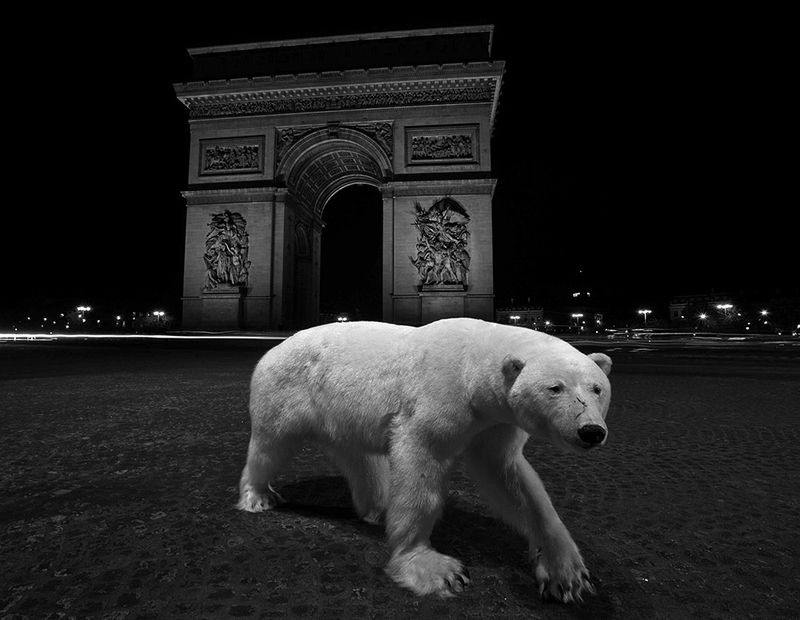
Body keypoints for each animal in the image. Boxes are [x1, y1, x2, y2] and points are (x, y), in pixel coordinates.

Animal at [238, 318, 612, 604]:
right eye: (555, 388)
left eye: (597, 388)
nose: (591, 431)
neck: (473, 362)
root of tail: (273, 348)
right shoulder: (442, 398)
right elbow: (420, 465)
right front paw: (435, 569)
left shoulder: (494, 422)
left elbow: (512, 480)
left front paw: (567, 576)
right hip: (286, 391)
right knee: (270, 444)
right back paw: (258, 496)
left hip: (340, 410)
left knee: (360, 459)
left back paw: (377, 508)